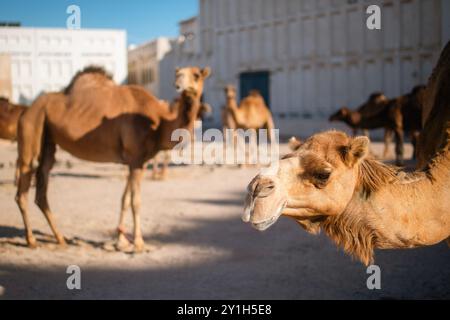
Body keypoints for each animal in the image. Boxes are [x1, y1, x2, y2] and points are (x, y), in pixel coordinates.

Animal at [14, 65, 211, 250]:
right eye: (177, 74)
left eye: (196, 75)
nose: (179, 84)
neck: (159, 124)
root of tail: (26, 110)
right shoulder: (136, 158)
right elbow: (135, 201)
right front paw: (138, 243)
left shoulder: (136, 161)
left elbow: (125, 199)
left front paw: (121, 241)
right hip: (32, 127)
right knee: (23, 186)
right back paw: (31, 240)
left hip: (48, 138)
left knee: (42, 186)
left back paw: (60, 238)